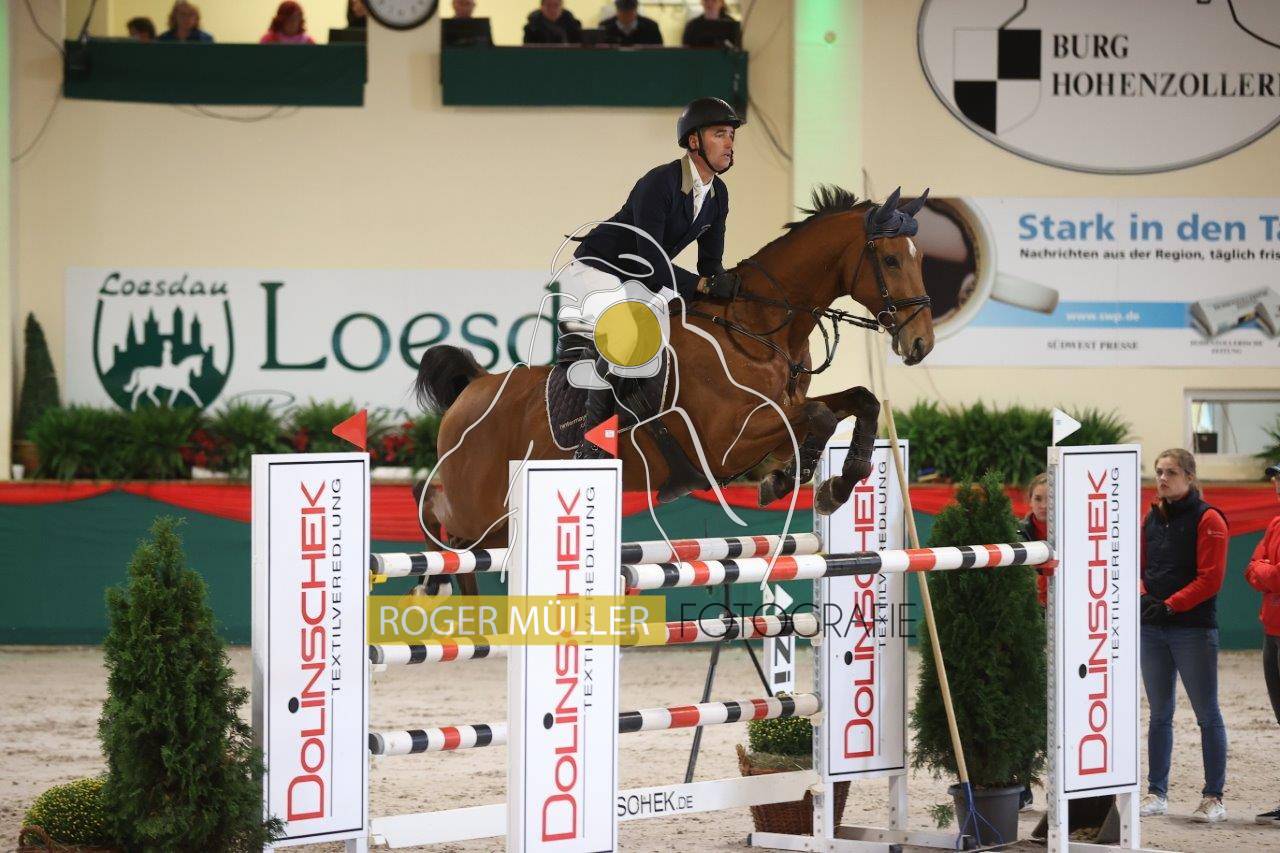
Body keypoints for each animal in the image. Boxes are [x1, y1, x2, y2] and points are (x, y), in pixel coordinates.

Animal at [412, 186, 935, 567]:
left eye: (921, 258)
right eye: (890, 260)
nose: (920, 343)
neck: (757, 328)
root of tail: (474, 387)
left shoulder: (784, 408)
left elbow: (858, 401)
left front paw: (832, 483)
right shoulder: (726, 441)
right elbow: (823, 416)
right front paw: (791, 479)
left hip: (499, 518)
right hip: (478, 509)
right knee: (440, 515)